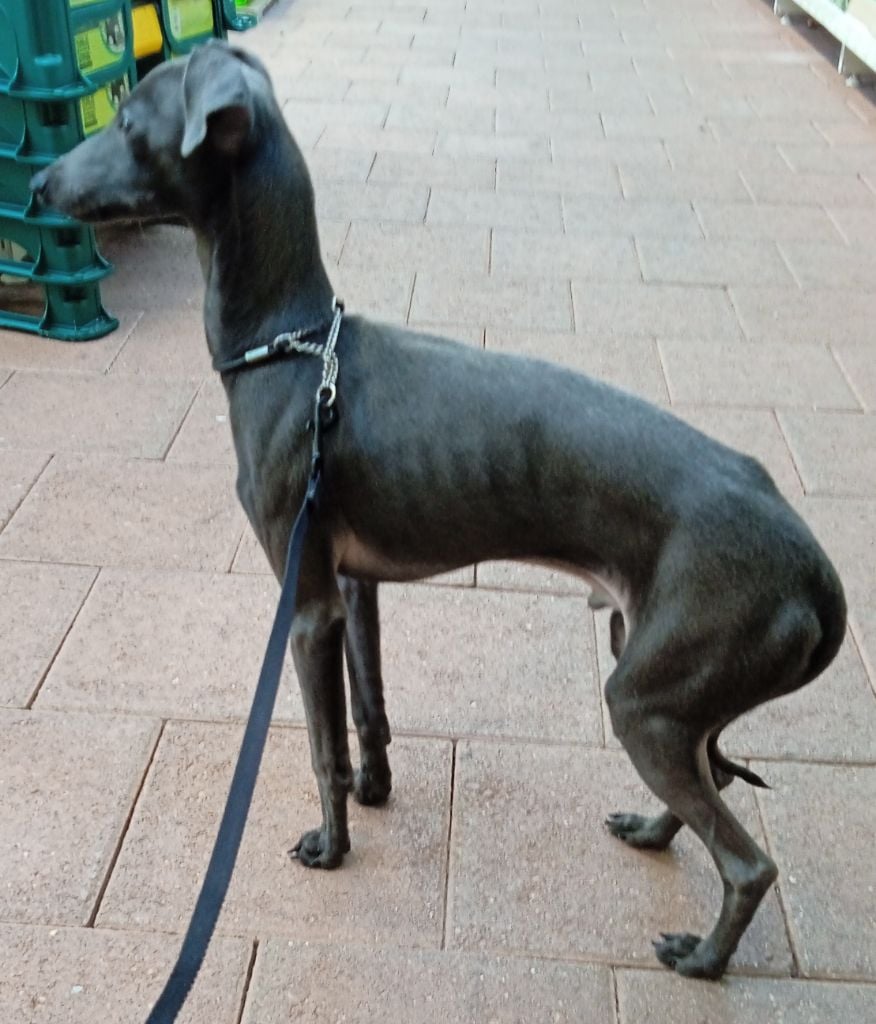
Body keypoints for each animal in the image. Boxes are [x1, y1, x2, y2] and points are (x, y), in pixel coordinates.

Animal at [31, 40, 846, 980]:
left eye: (129, 120)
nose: (39, 182)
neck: (294, 350)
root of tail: (817, 573)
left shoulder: (303, 606)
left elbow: (320, 743)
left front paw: (331, 844)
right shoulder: (351, 586)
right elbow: (370, 708)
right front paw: (376, 791)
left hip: (647, 698)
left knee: (748, 863)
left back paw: (703, 958)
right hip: (665, 679)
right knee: (707, 785)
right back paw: (648, 831)